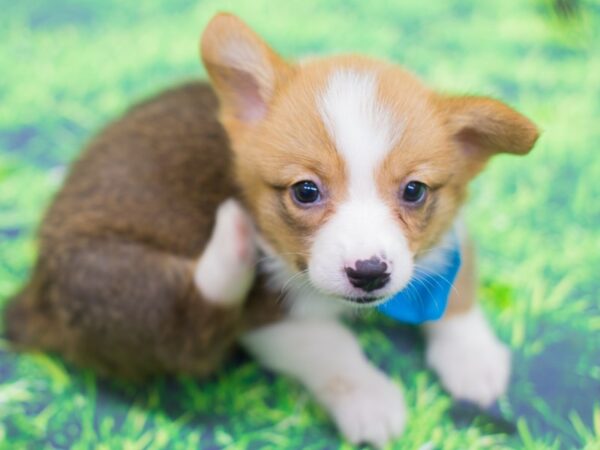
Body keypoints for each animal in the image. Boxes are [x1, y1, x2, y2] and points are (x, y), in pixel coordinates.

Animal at [4, 12, 540, 448]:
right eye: (305, 191)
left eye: (413, 191)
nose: (369, 273)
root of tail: (32, 296)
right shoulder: (269, 320)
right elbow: (333, 350)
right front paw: (369, 399)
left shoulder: (448, 239)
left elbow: (457, 292)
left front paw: (474, 359)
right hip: (115, 283)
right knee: (188, 323)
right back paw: (233, 239)